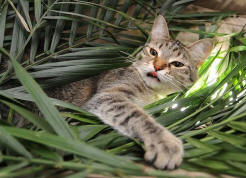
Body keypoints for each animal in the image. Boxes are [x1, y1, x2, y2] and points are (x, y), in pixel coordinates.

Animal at [48, 15, 213, 170]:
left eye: (177, 64)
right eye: (153, 52)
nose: (157, 67)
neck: (152, 93)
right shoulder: (107, 96)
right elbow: (138, 117)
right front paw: (165, 143)